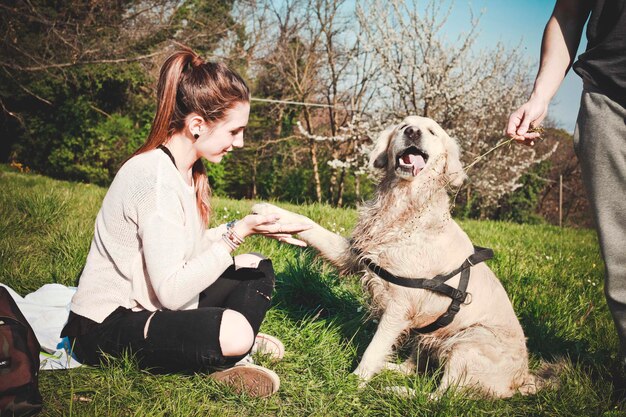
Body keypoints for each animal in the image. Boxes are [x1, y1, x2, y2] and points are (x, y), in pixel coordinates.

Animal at [254, 115, 544, 394]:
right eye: (404, 125)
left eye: (432, 131)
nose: (413, 132)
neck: (403, 206)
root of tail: (522, 379)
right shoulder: (355, 255)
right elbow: (310, 225)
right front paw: (273, 213)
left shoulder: (400, 306)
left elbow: (373, 349)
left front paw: (353, 383)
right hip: (431, 336)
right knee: (415, 369)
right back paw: (390, 371)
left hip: (469, 342)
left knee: (442, 395)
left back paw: (397, 391)